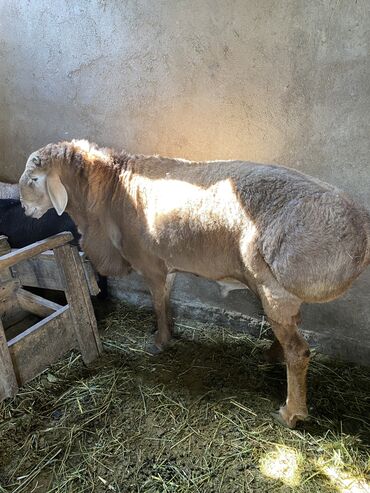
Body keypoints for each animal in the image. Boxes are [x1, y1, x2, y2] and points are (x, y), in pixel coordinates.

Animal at [18, 139, 370, 426]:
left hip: (274, 286)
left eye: (35, 180)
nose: (23, 207)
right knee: (292, 330)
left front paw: (159, 341)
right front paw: (168, 332)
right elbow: (167, 299)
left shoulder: (150, 263)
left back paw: (291, 413)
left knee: (299, 351)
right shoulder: (167, 263)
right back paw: (272, 356)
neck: (110, 191)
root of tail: (360, 229)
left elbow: (157, 302)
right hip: (280, 292)